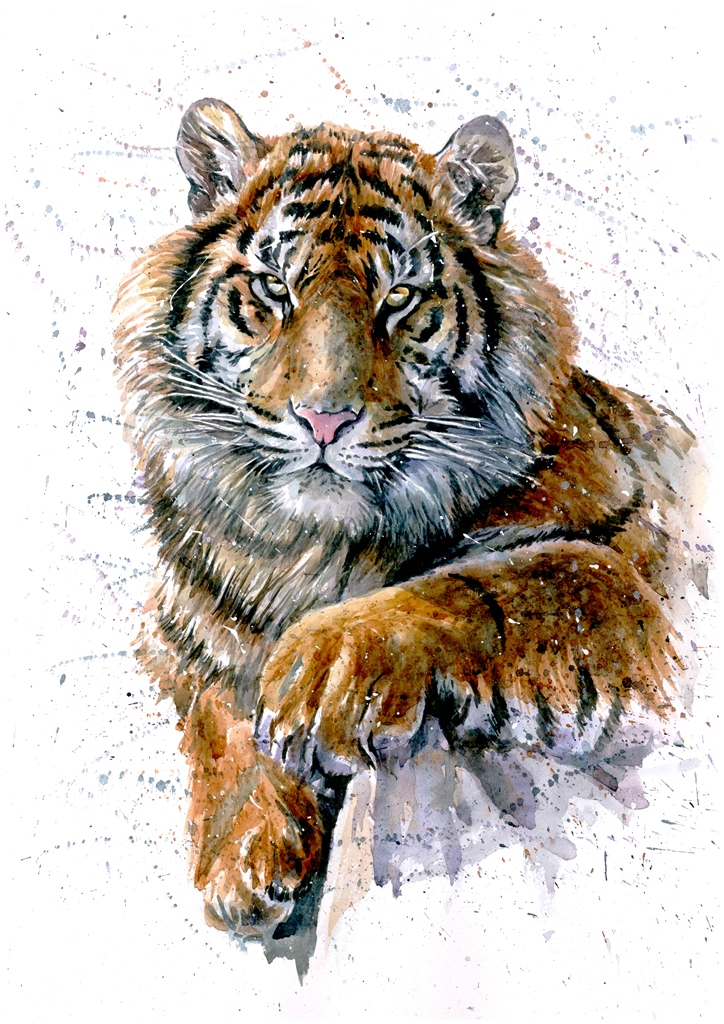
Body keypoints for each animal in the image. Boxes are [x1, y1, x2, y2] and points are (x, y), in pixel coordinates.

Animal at [113, 97, 701, 946]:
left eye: (398, 299)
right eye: (274, 289)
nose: (324, 420)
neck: (313, 550)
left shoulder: (625, 568)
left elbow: (484, 584)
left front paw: (319, 675)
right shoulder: (182, 629)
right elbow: (216, 711)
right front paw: (242, 857)